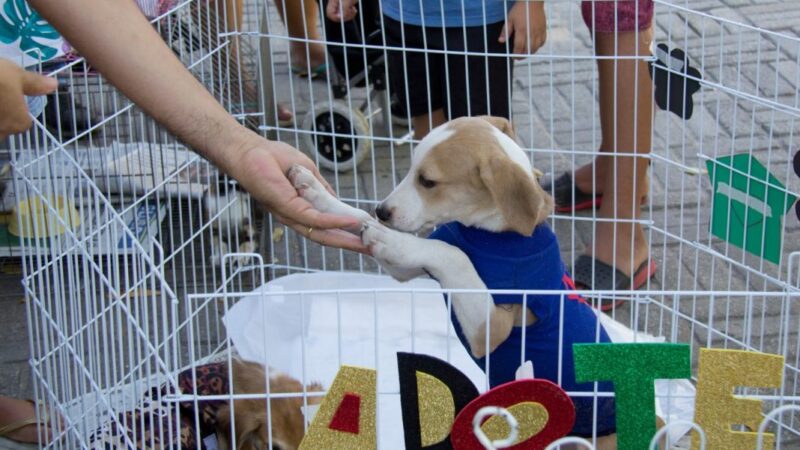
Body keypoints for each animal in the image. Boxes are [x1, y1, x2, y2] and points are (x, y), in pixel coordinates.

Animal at [290, 117, 636, 450]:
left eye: (428, 181)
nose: (382, 210)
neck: (490, 232)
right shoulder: (406, 266)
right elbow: (359, 218)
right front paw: (314, 191)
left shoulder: (492, 329)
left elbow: (453, 254)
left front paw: (387, 235)